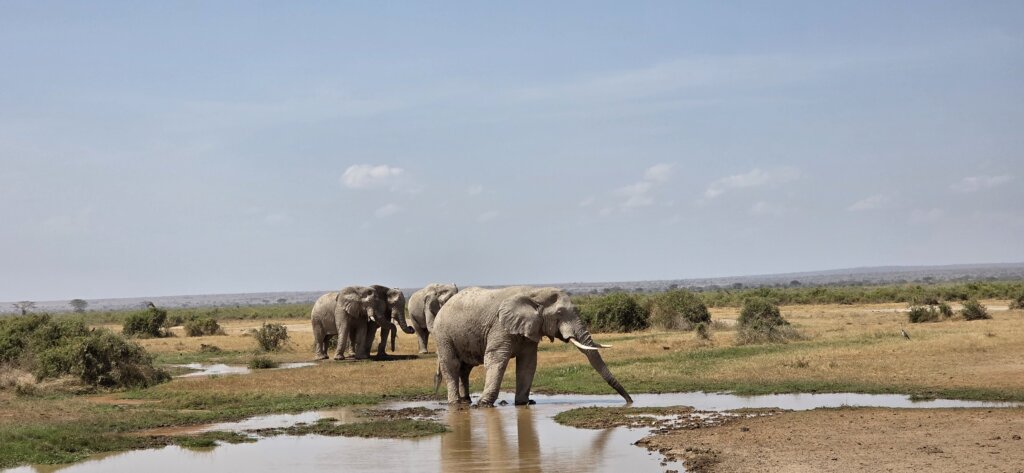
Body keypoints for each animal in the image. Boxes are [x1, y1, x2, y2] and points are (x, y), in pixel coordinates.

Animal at [432, 286, 632, 406]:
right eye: (560, 313)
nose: (630, 401)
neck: (534, 292)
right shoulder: (500, 326)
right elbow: (496, 359)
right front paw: (484, 404)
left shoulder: (530, 329)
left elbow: (528, 363)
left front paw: (523, 403)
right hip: (442, 334)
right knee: (452, 365)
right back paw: (456, 403)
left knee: (465, 368)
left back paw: (466, 401)